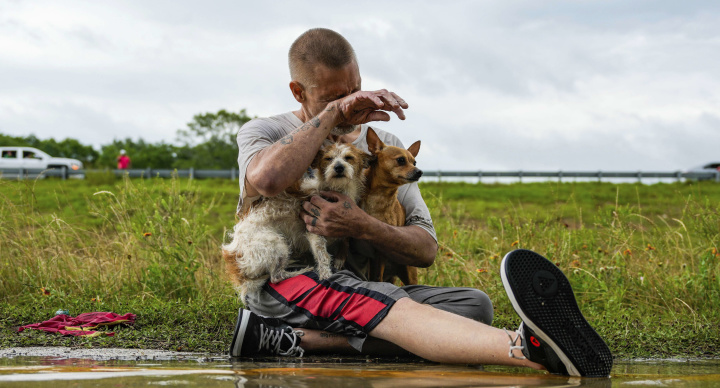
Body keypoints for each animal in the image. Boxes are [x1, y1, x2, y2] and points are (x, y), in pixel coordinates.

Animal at [222, 142, 368, 298]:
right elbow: (323, 256)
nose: (339, 167)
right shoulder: (314, 230)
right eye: (328, 159)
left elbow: (345, 237)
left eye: (349, 158)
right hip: (276, 244)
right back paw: (302, 271)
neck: (335, 188)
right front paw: (326, 275)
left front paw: (340, 257)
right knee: (276, 277)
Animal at [362, 128, 420, 284]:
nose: (419, 171)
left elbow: (377, 276)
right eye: (401, 160)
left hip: (409, 273)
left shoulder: (382, 249)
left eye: (415, 162)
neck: (379, 195)